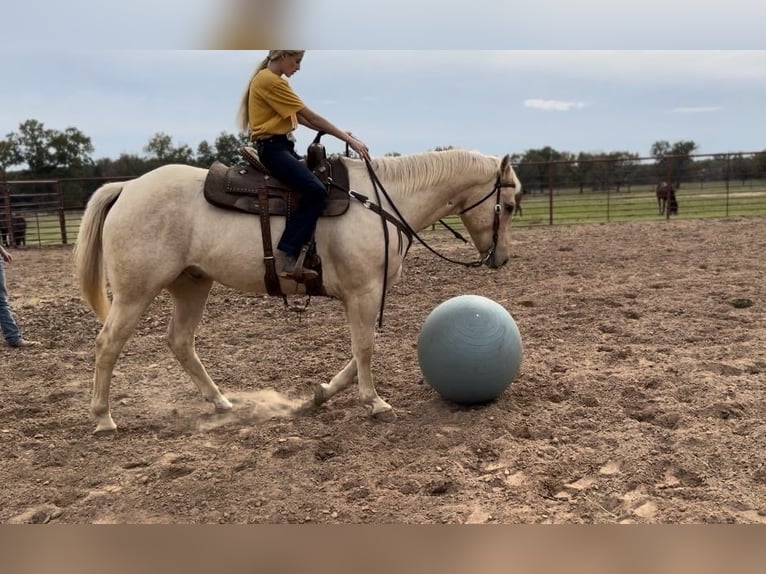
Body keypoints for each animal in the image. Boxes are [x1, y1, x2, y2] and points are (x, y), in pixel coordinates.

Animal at [73, 151, 520, 434]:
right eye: (512, 205)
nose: (502, 259)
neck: (382, 203)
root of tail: (127, 188)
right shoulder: (363, 292)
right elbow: (365, 348)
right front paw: (374, 402)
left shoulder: (365, 295)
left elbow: (358, 351)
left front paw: (321, 394)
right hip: (135, 293)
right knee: (107, 344)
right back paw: (103, 418)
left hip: (192, 283)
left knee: (180, 342)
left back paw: (221, 402)